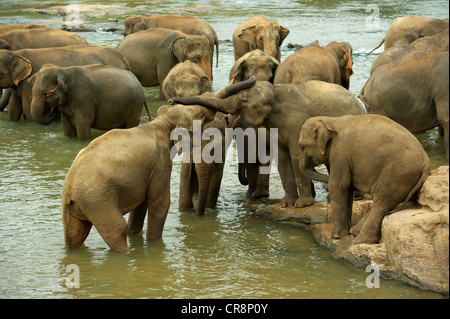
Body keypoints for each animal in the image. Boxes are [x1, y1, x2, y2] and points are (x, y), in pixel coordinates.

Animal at [61, 104, 214, 254]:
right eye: (200, 115)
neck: (161, 123)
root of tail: (68, 188)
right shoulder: (160, 162)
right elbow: (160, 203)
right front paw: (153, 244)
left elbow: (141, 203)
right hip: (97, 200)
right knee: (117, 228)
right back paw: (128, 253)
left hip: (81, 205)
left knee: (76, 234)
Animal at [169, 76, 366, 209]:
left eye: (243, 100)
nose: (171, 100)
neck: (276, 90)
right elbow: (282, 158)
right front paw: (287, 204)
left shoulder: (298, 121)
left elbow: (296, 156)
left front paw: (302, 205)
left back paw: (352, 198)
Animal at [298, 115, 428, 245]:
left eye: (302, 146)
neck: (330, 120)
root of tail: (426, 161)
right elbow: (348, 188)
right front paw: (346, 230)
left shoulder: (340, 153)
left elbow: (338, 185)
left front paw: (336, 236)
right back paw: (354, 231)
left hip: (397, 174)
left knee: (381, 202)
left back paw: (360, 240)